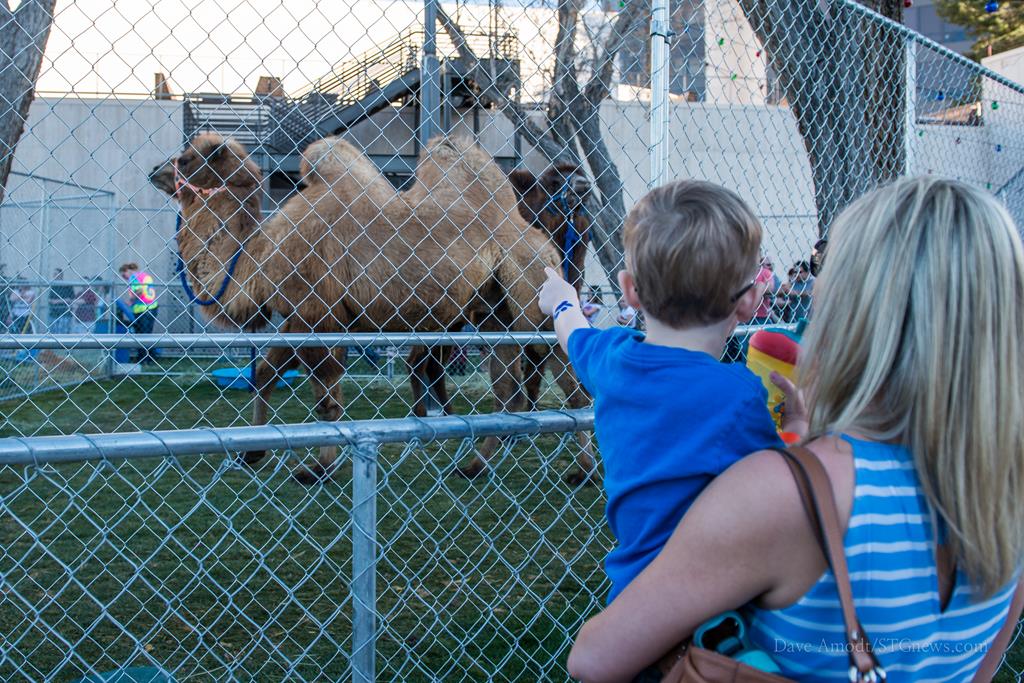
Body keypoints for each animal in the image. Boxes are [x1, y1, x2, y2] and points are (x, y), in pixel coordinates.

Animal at [403, 163, 589, 417]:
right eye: (557, 181)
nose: (583, 184)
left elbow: (534, 372)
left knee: (432, 365)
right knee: (418, 362)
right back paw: (424, 413)